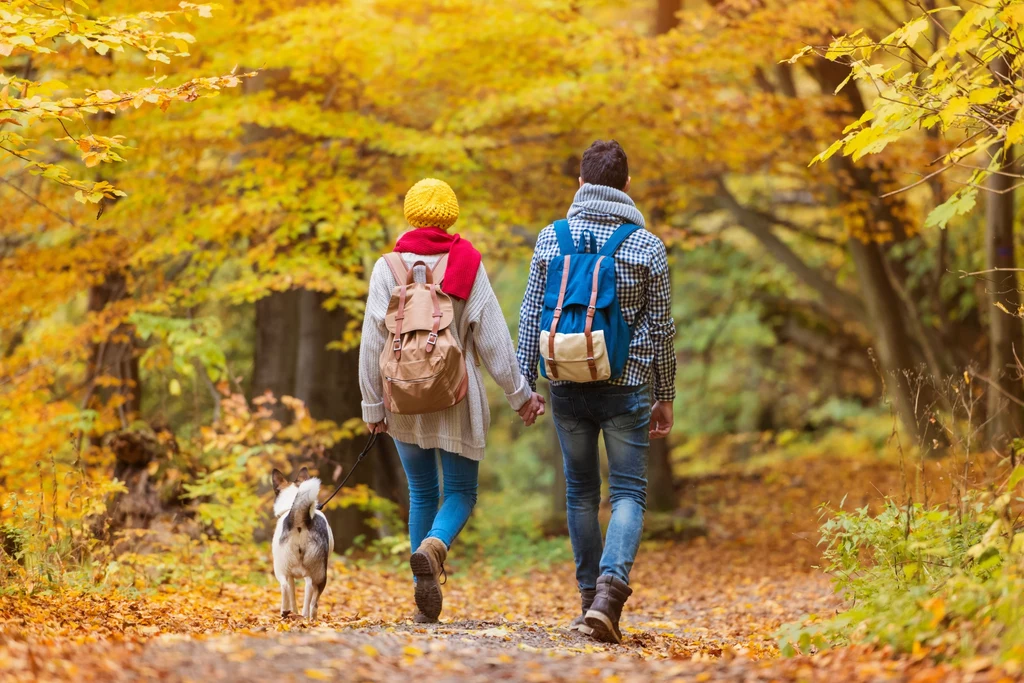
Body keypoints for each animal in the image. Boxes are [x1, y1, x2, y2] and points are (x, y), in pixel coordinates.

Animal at [270, 466, 333, 622]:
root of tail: (300, 520)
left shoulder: (291, 575)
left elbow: (293, 596)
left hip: (281, 569)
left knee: (285, 588)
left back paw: (285, 614)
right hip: (317, 574)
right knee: (313, 604)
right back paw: (310, 620)